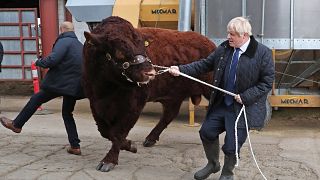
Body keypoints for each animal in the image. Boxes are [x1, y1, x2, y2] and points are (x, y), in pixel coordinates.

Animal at [81, 16, 216, 172]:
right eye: (119, 52)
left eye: (143, 46)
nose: (150, 73)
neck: (107, 88)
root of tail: (208, 42)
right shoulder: (95, 103)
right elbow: (106, 131)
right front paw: (129, 145)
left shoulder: (134, 106)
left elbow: (118, 132)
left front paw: (110, 160)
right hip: (174, 96)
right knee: (169, 115)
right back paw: (150, 138)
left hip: (210, 89)